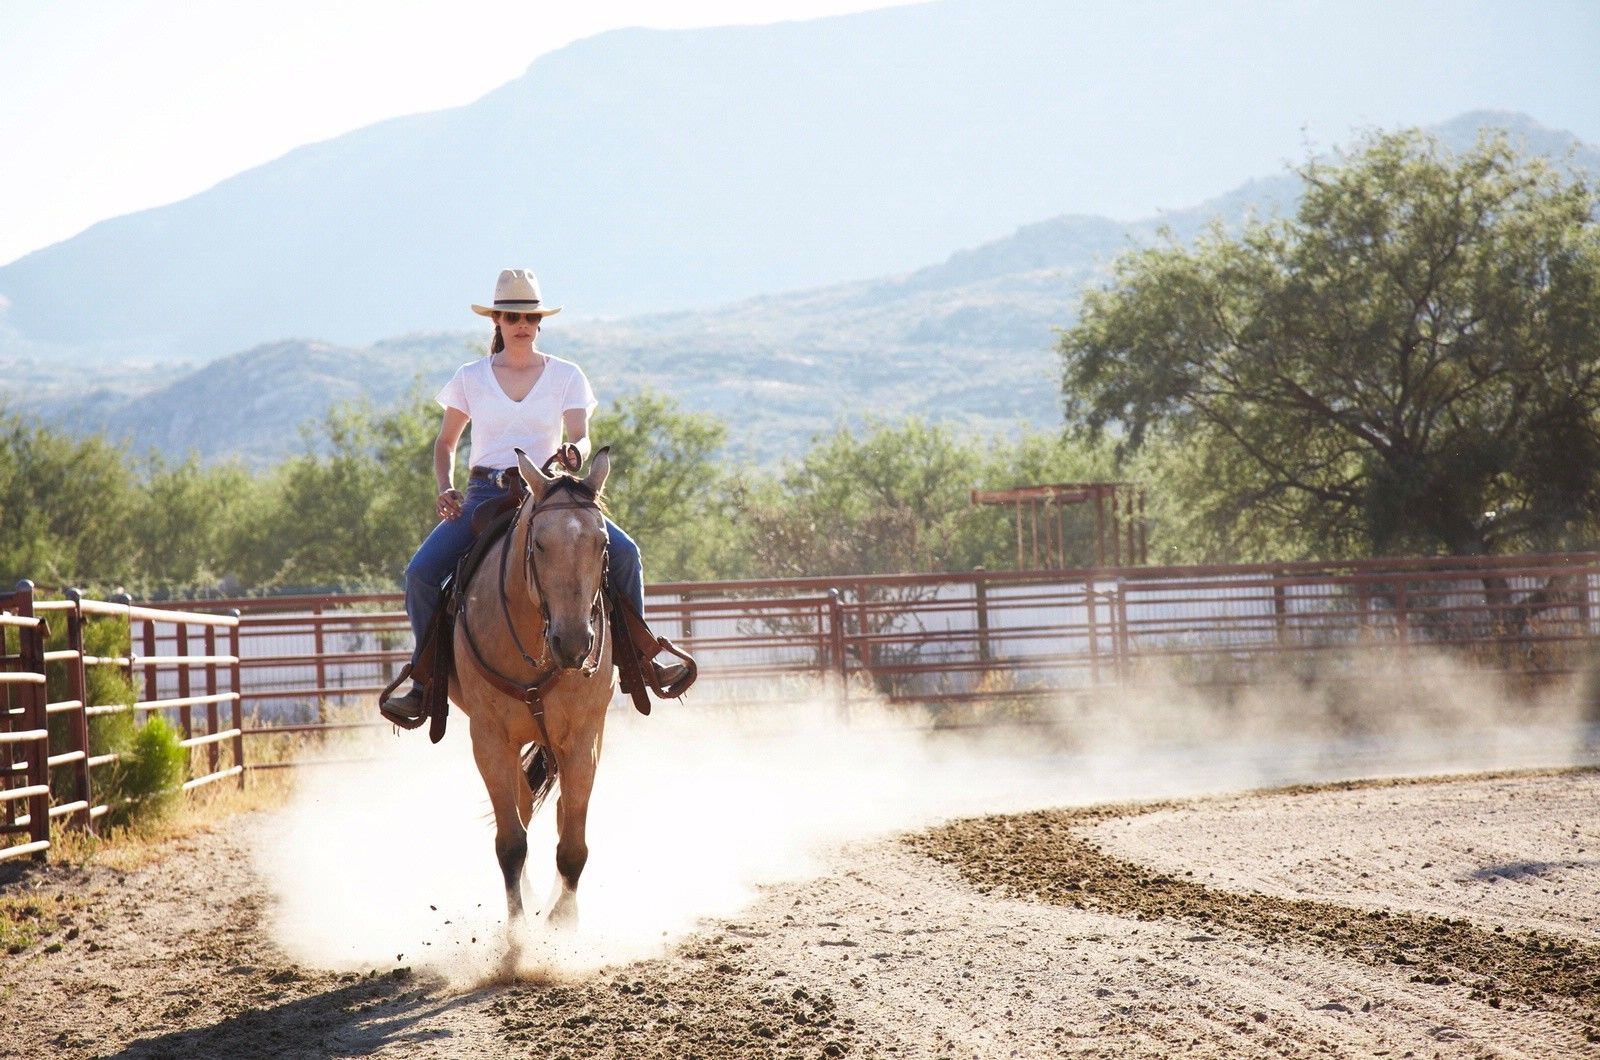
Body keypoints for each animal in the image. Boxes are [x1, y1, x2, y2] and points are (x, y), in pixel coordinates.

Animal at [454, 445, 620, 941]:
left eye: (602, 543)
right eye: (540, 543)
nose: (574, 642)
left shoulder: (582, 734)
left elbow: (573, 843)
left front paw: (564, 923)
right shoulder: (488, 738)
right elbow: (511, 842)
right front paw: (516, 935)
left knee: (562, 810)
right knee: (524, 810)